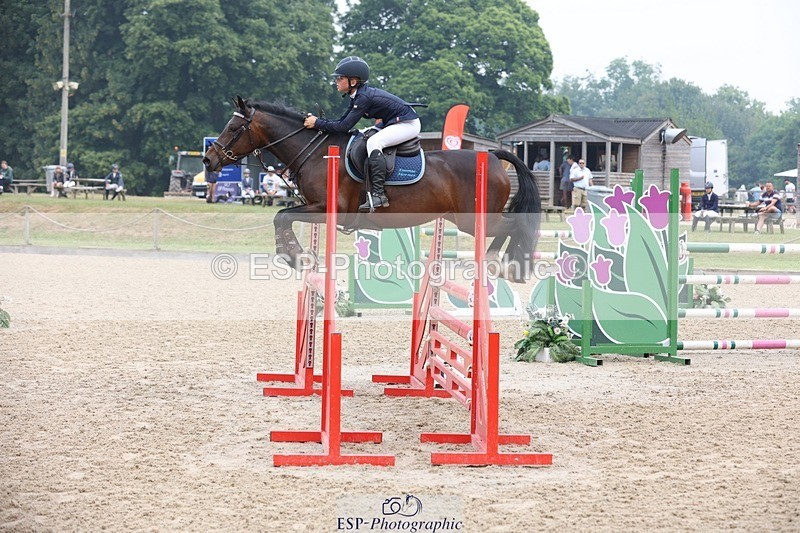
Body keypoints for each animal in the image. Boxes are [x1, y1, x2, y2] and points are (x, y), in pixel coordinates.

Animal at [203, 96, 542, 280]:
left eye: (233, 128)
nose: (208, 160)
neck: (315, 151)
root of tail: (492, 156)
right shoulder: (317, 209)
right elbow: (282, 218)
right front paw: (297, 257)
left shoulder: (328, 208)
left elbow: (281, 216)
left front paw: (296, 257)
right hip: (466, 219)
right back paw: (499, 264)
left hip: (473, 219)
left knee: (513, 226)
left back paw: (506, 266)